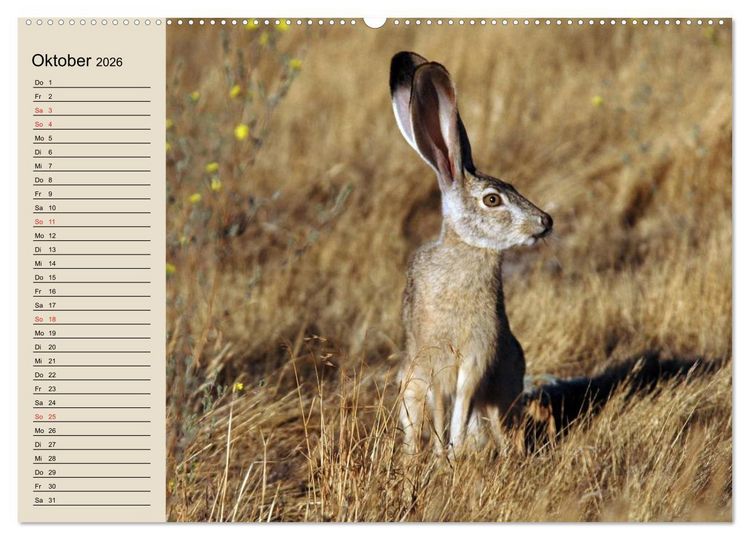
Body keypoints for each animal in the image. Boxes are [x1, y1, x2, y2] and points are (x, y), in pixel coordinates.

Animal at [390, 51, 553, 455]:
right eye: (493, 200)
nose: (545, 222)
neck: (467, 248)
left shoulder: (479, 355)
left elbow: (462, 402)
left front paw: (454, 449)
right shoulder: (433, 358)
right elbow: (441, 404)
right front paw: (442, 454)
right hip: (409, 383)